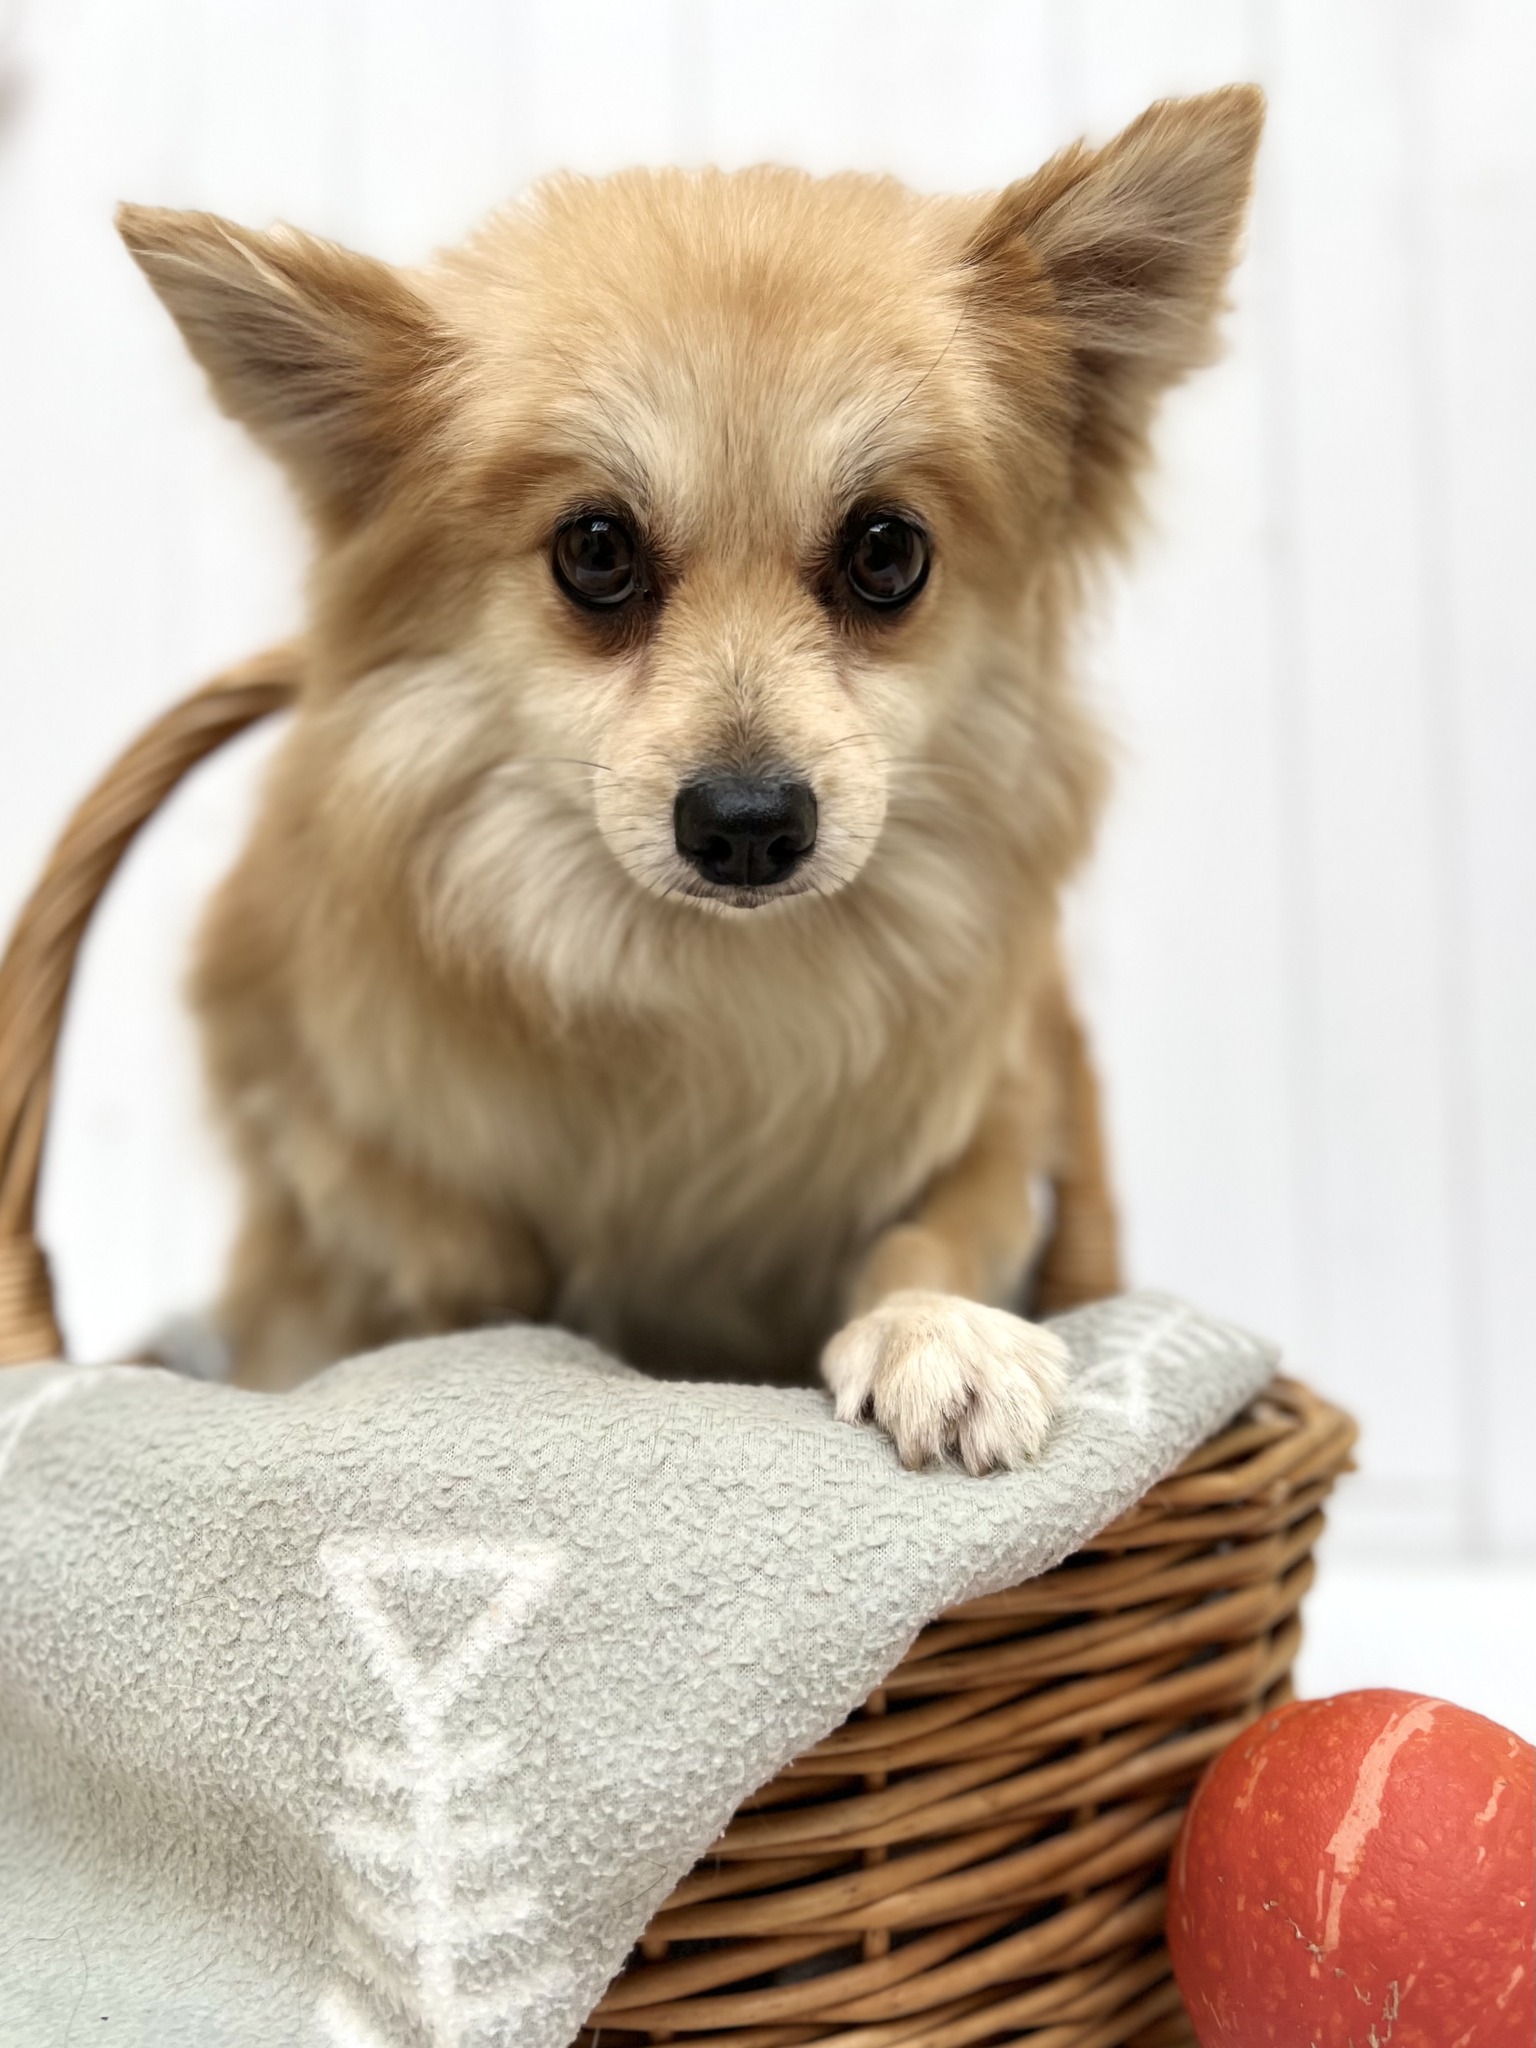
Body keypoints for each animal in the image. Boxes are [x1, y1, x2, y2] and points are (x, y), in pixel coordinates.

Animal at [117, 85, 1262, 1471]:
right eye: (596, 550)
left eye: (888, 551)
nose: (749, 821)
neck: (704, 986)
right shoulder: (324, 1157)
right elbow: (434, 1252)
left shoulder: (1000, 1114)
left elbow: (935, 1230)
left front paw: (938, 1331)